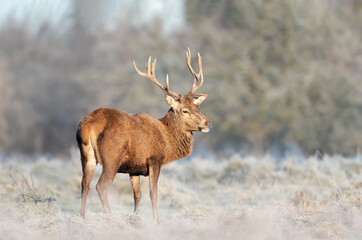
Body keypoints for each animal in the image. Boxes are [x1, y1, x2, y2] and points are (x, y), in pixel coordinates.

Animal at [77, 48, 212, 223]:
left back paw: (82, 218)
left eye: (198, 108)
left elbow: (137, 195)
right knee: (101, 186)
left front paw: (135, 218)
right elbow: (153, 193)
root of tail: (88, 126)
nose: (207, 123)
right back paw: (111, 217)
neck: (167, 139)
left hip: (87, 156)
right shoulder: (154, 160)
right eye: (185, 111)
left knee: (84, 185)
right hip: (111, 158)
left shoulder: (134, 168)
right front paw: (156, 221)